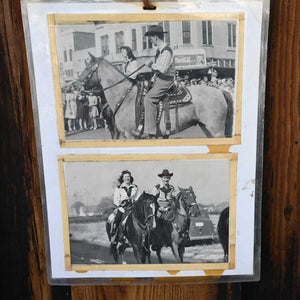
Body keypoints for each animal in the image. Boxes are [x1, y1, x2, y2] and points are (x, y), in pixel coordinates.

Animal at [75, 52, 234, 139]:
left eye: (87, 68)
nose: (74, 85)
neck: (125, 97)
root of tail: (220, 91)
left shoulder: (130, 135)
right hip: (206, 128)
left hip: (216, 130)